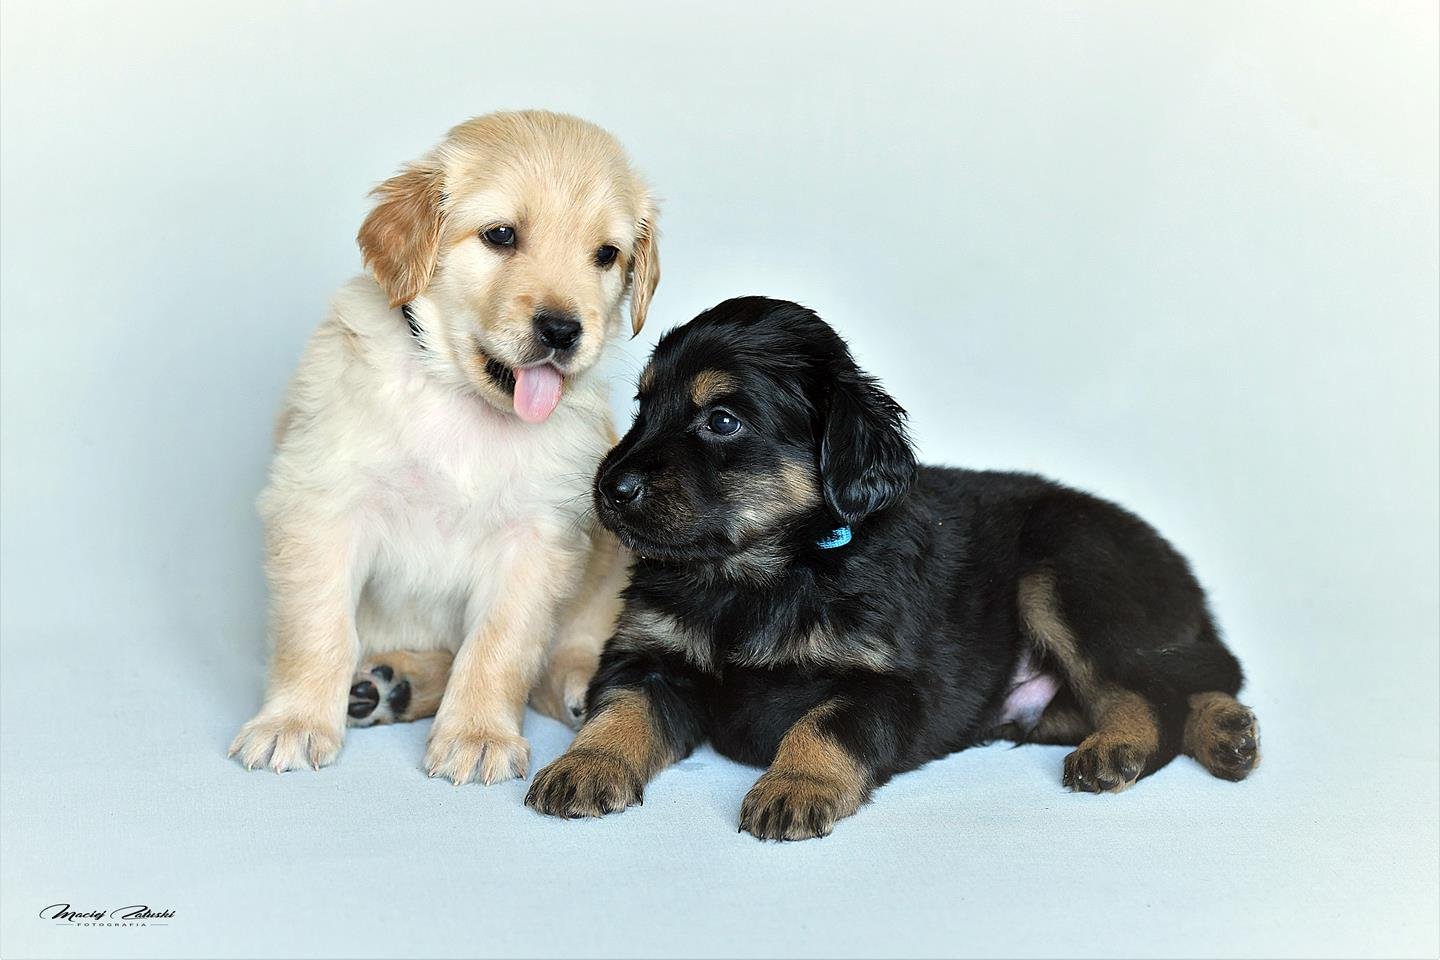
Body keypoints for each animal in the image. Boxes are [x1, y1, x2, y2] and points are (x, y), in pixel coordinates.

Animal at [230, 110, 659, 784]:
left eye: (607, 255)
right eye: (501, 235)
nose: (562, 330)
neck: (464, 403)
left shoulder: (537, 539)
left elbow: (500, 645)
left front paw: (478, 733)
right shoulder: (321, 504)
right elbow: (317, 628)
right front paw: (293, 721)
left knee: (561, 655)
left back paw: (575, 684)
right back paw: (387, 684)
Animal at [526, 296, 1260, 838]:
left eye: (723, 421)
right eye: (643, 407)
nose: (608, 489)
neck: (764, 573)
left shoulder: (889, 683)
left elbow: (822, 723)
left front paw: (795, 784)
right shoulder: (650, 656)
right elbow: (619, 711)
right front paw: (583, 765)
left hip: (1066, 573)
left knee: (1159, 688)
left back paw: (1125, 748)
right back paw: (1226, 734)